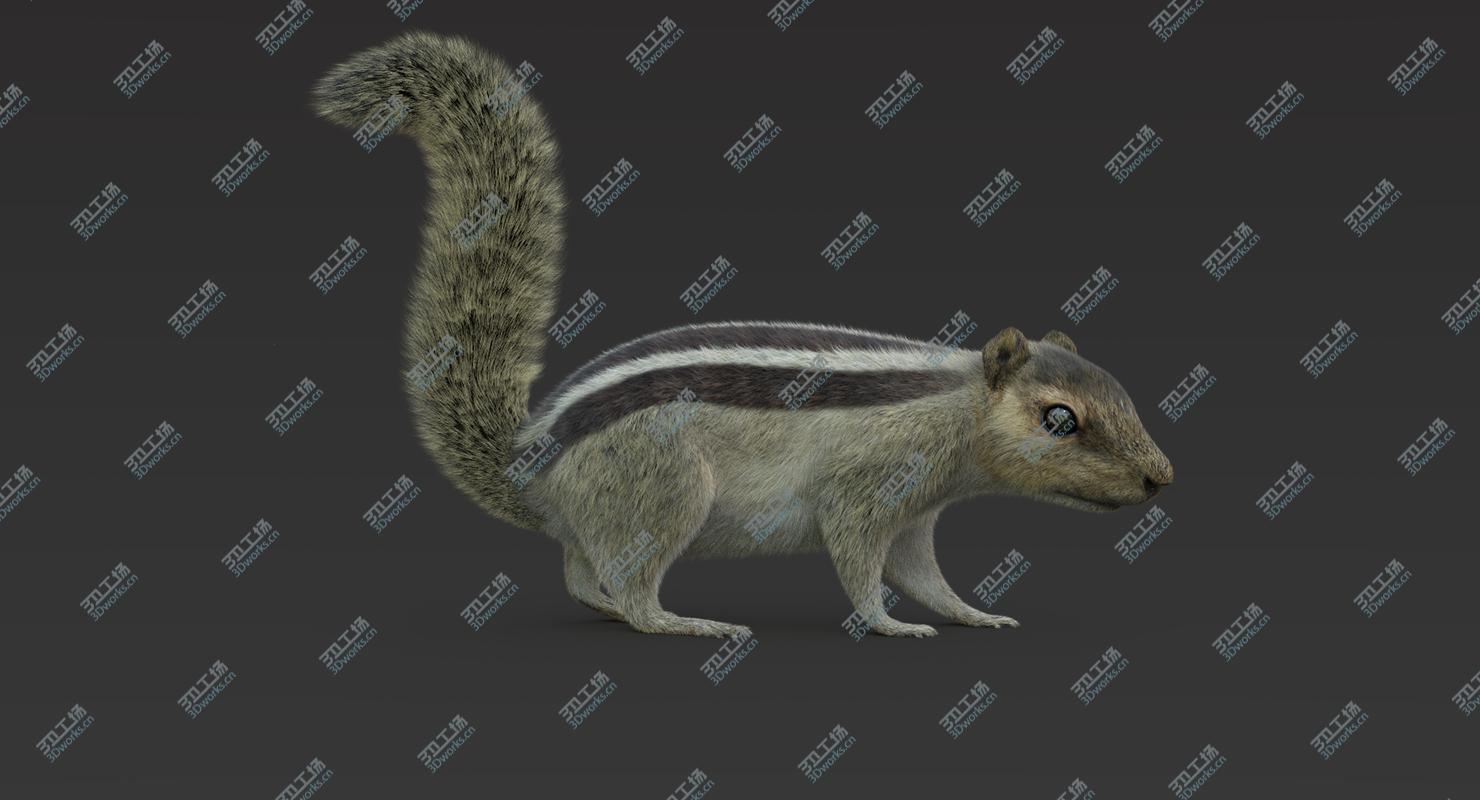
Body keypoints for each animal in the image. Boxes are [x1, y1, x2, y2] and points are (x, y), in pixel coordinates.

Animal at [311, 32, 1174, 638]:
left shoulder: (916, 513)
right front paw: (889, 624)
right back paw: (683, 621)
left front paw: (973, 613)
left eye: (1122, 390)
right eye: (1058, 418)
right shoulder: (867, 490)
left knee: (583, 577)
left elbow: (924, 573)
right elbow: (860, 562)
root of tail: (529, 466)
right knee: (630, 580)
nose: (1160, 478)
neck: (950, 401)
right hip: (663, 488)